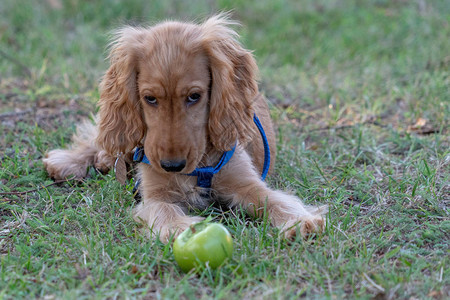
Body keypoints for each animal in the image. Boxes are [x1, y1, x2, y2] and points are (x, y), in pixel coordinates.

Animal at [43, 14, 326, 244]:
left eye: (194, 96)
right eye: (150, 98)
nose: (172, 165)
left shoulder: (245, 180)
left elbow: (273, 198)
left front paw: (299, 220)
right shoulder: (154, 194)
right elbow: (164, 209)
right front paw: (181, 228)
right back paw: (68, 162)